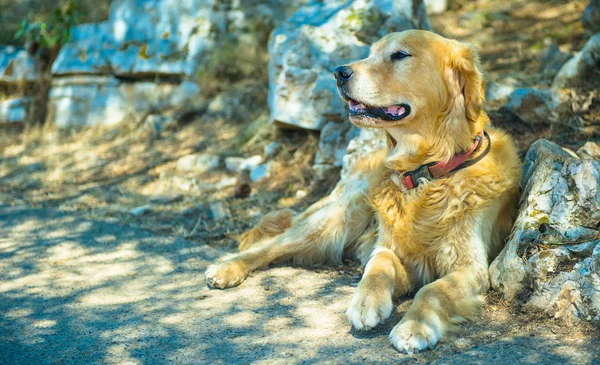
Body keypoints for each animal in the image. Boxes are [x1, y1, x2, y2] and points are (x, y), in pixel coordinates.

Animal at [205, 29, 520, 354]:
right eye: (371, 53)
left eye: (400, 55)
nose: (339, 72)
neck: (425, 174)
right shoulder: (391, 249)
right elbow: (378, 264)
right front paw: (366, 303)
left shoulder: (470, 268)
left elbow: (433, 291)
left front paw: (414, 326)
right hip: (337, 220)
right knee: (268, 246)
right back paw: (227, 268)